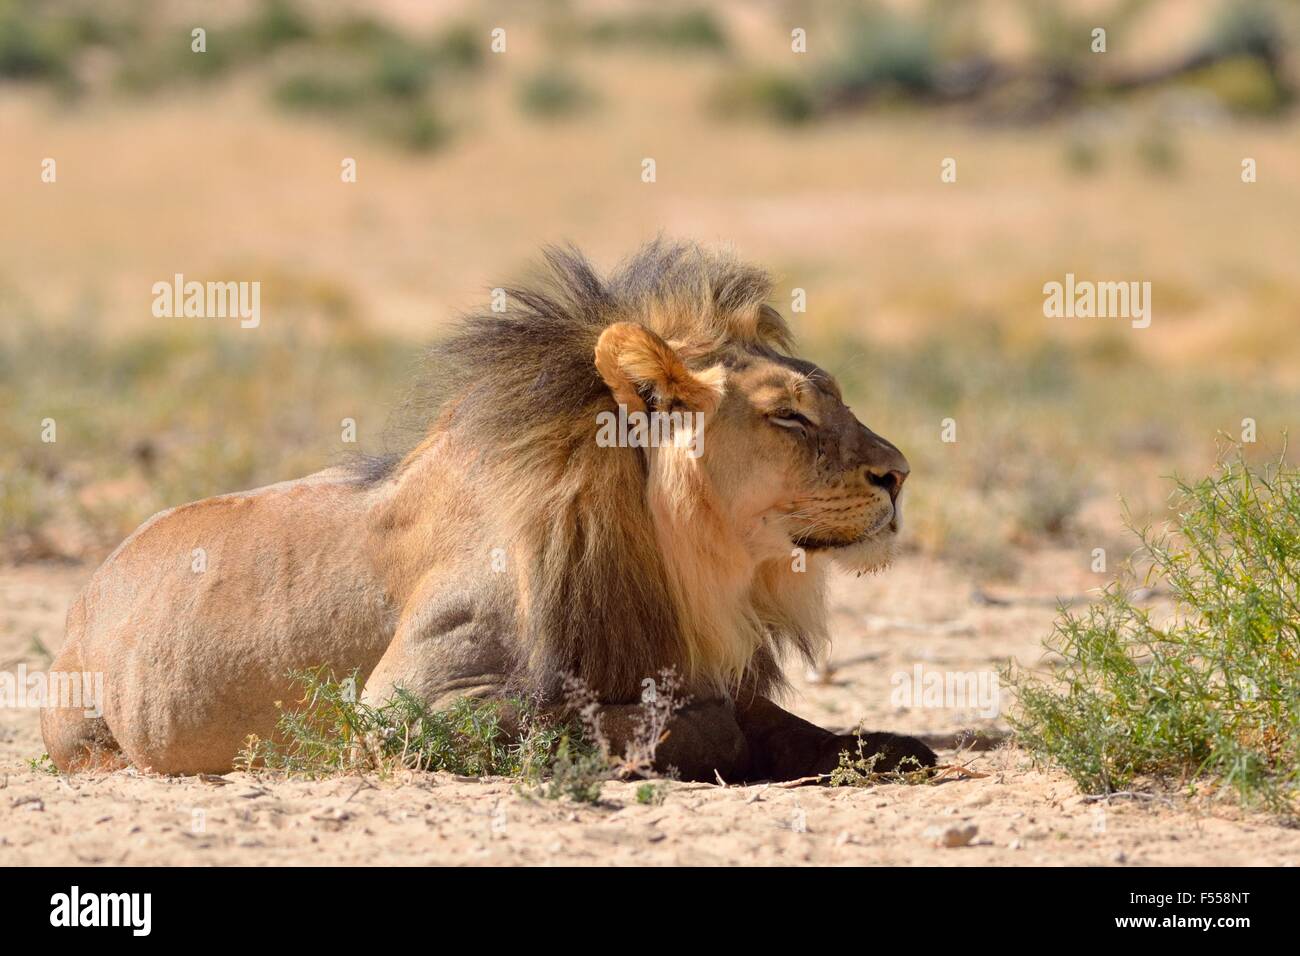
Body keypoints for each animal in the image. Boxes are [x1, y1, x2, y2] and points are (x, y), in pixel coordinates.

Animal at [40, 243, 935, 780]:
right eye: (790, 417)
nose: (899, 475)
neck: (690, 564)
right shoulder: (408, 709)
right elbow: (674, 723)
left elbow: (786, 720)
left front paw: (885, 745)